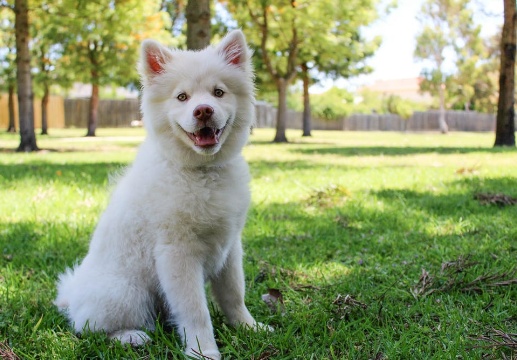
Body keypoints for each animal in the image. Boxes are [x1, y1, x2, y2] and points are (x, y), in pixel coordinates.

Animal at [56, 31, 266, 360]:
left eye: (218, 92)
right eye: (182, 97)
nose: (203, 110)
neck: (202, 172)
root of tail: (72, 295)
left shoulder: (230, 247)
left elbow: (234, 295)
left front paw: (249, 328)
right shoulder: (177, 253)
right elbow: (195, 310)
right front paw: (203, 350)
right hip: (127, 294)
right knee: (89, 327)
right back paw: (131, 336)